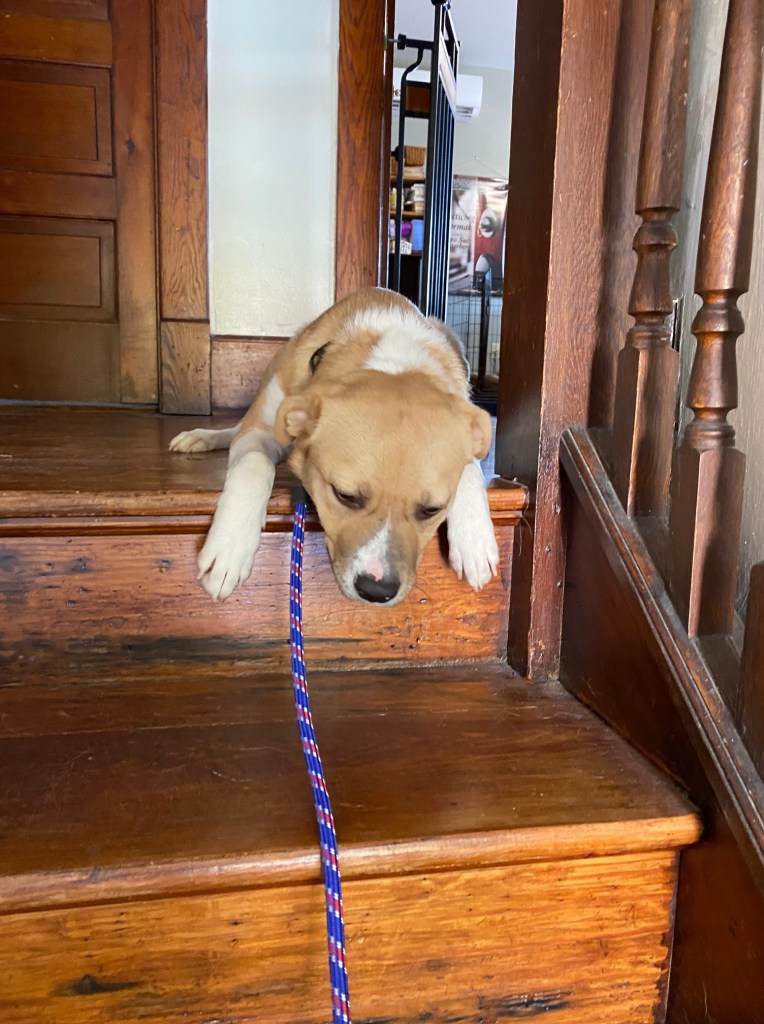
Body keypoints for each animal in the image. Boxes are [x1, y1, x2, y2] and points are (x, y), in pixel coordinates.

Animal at [169, 288, 499, 606]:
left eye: (432, 510)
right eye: (345, 496)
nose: (376, 590)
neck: (391, 358)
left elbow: (472, 467)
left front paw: (475, 539)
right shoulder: (260, 431)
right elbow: (253, 462)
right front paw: (230, 546)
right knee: (237, 430)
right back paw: (202, 437)